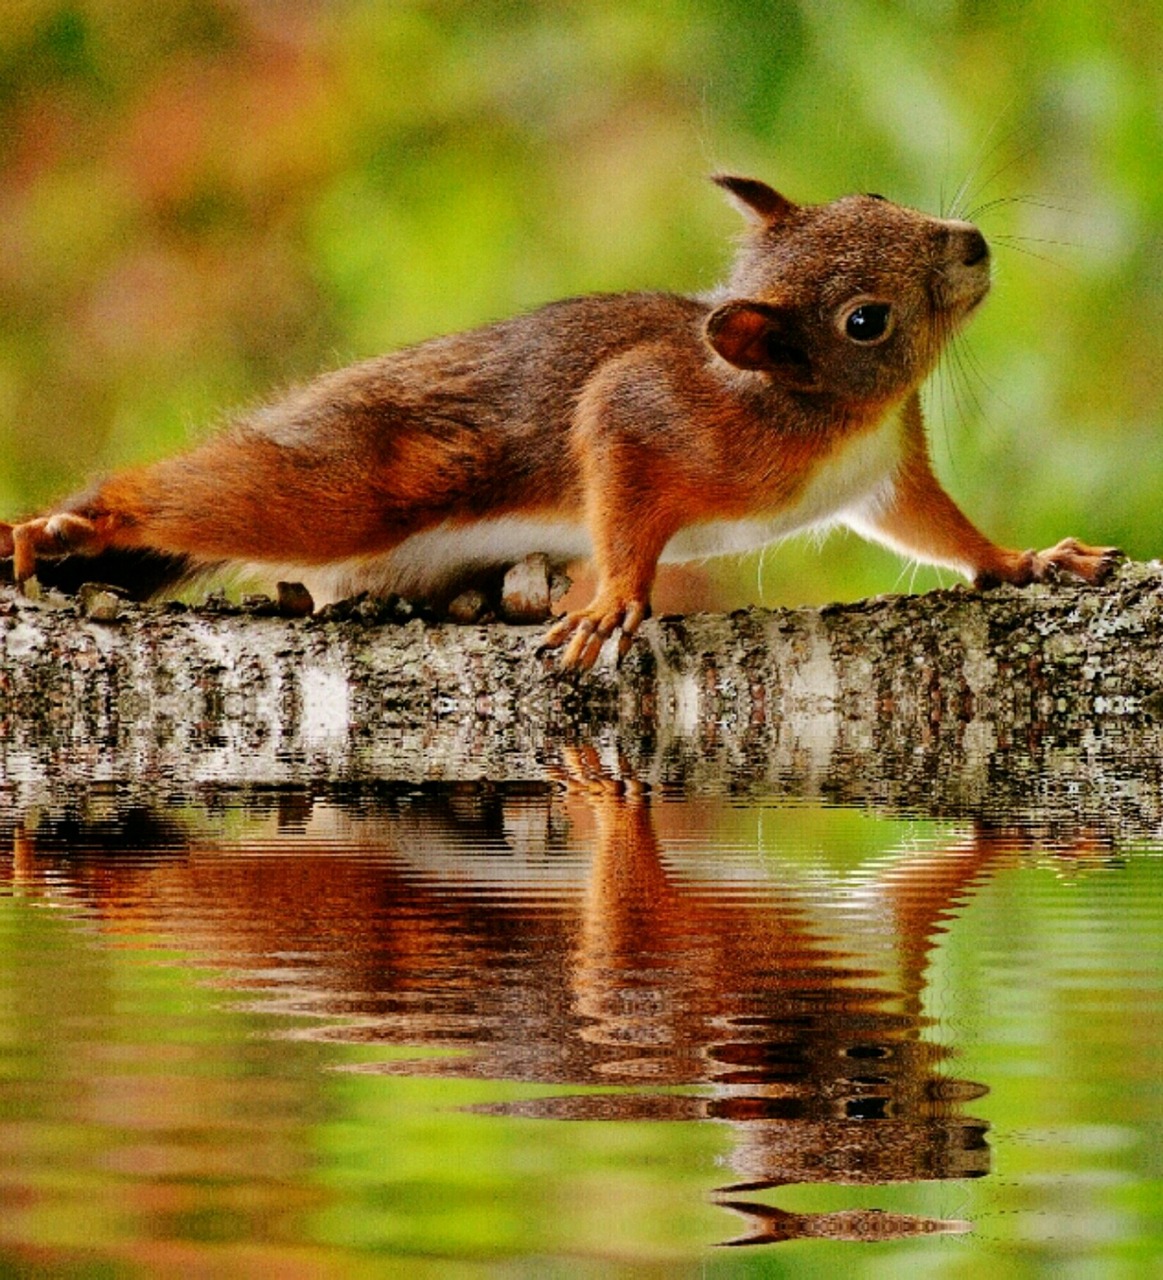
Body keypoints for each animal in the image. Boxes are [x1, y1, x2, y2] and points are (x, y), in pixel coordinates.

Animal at [0, 175, 1115, 670]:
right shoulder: (646, 411)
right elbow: (612, 458)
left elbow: (939, 530)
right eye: (864, 321)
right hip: (343, 489)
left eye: (872, 195)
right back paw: (69, 526)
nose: (970, 243)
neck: (838, 416)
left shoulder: (887, 472)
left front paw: (1025, 560)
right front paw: (616, 596)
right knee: (211, 494)